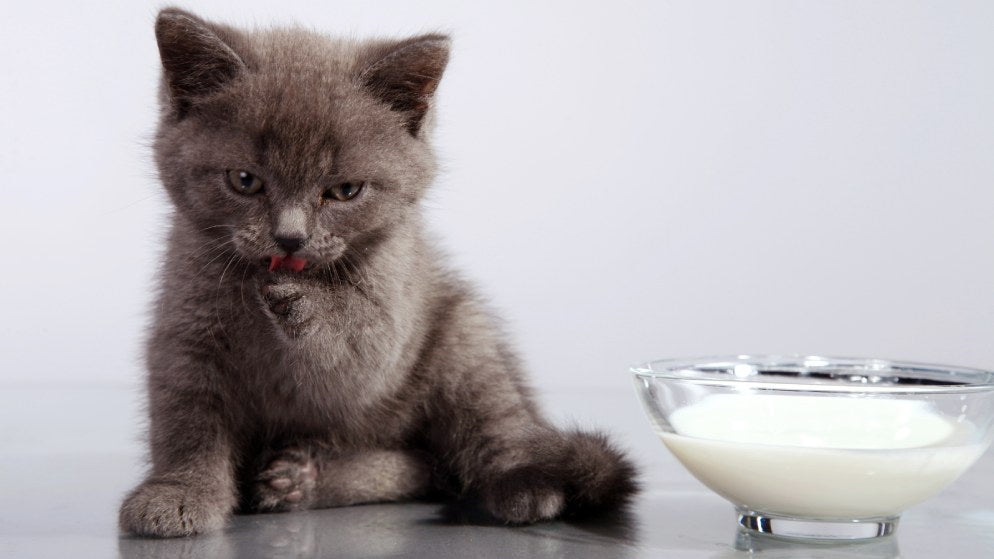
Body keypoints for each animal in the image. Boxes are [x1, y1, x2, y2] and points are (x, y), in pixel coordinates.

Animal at [118, 6, 636, 536]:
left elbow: (359, 350)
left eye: (345, 190)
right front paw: (179, 493)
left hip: (465, 333)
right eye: (244, 180)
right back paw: (297, 480)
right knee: (424, 466)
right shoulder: (185, 331)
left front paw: (307, 302)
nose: (290, 238)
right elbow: (189, 422)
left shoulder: (395, 309)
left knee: (484, 432)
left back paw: (524, 486)